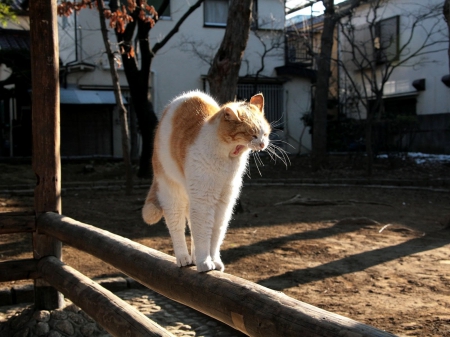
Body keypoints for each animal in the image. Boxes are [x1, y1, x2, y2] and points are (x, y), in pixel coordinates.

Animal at [142, 90, 270, 272]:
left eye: (265, 133)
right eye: (252, 134)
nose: (263, 143)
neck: (227, 159)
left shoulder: (224, 203)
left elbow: (215, 234)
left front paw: (213, 260)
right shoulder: (204, 200)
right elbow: (203, 233)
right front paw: (204, 262)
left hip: (191, 197)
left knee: (192, 224)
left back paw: (195, 258)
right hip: (173, 194)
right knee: (177, 227)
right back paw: (183, 258)